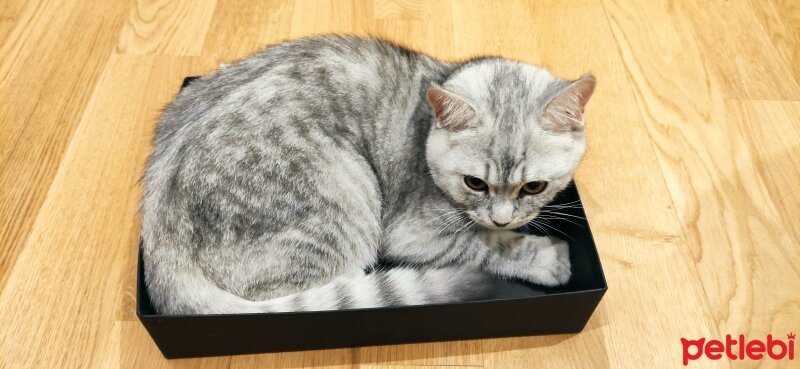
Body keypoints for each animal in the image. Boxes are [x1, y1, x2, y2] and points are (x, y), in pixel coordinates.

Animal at [142, 35, 592, 314]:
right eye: (475, 183)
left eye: (534, 186)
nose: (502, 217)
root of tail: (157, 235)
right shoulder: (414, 234)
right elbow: (484, 244)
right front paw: (545, 256)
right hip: (346, 199)